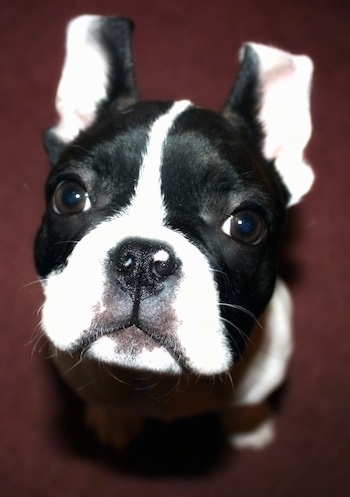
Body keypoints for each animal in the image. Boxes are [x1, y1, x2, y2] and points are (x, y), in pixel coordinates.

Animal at [34, 15, 314, 450]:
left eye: (246, 225)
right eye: (70, 196)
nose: (141, 260)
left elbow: (247, 404)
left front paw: (249, 424)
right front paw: (113, 420)